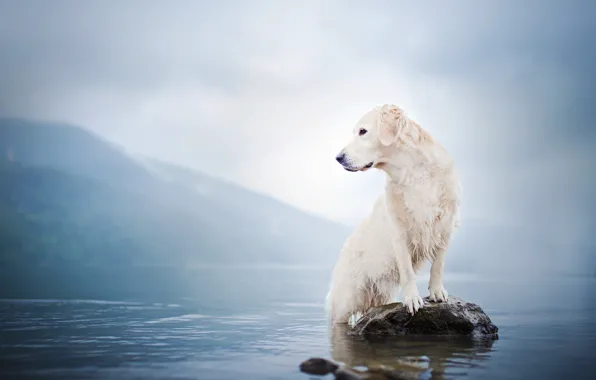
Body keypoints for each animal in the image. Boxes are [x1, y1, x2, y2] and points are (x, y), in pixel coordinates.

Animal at [326, 104, 460, 324]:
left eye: (363, 131)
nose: (338, 158)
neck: (412, 172)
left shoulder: (446, 224)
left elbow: (438, 264)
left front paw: (437, 292)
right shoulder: (399, 231)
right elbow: (407, 270)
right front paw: (412, 299)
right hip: (345, 302)